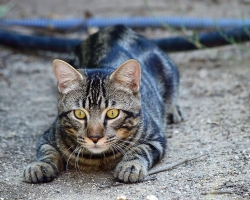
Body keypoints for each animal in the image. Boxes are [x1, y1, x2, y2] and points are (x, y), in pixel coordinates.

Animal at [23, 24, 183, 183]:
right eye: (79, 113)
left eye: (113, 113)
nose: (95, 137)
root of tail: (116, 27)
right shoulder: (47, 137)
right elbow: (47, 151)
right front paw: (40, 165)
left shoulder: (156, 138)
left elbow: (140, 149)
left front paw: (130, 165)